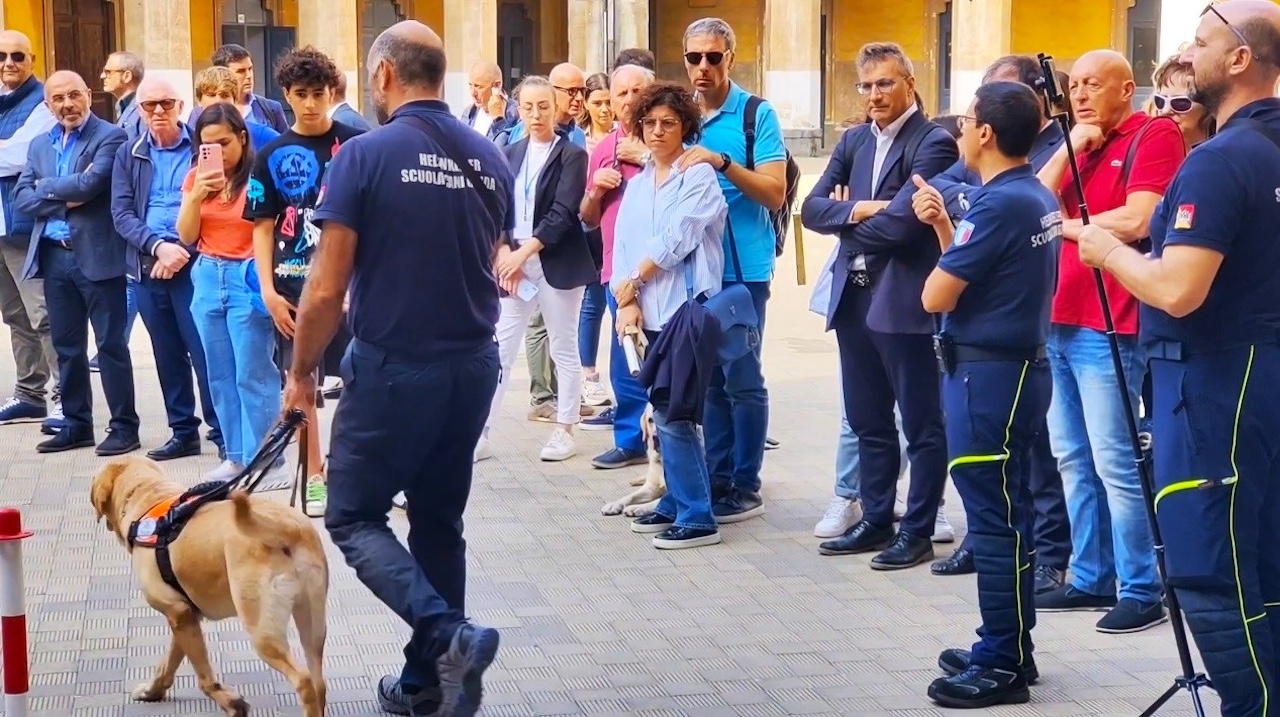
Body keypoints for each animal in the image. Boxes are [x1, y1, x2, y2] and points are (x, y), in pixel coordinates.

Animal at [91, 455, 330, 711]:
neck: (148, 497)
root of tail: (285, 526)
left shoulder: (178, 612)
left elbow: (203, 673)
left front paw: (229, 701)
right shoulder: (185, 615)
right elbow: (168, 662)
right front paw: (152, 691)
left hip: (262, 630)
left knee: (303, 680)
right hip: (312, 621)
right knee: (318, 681)